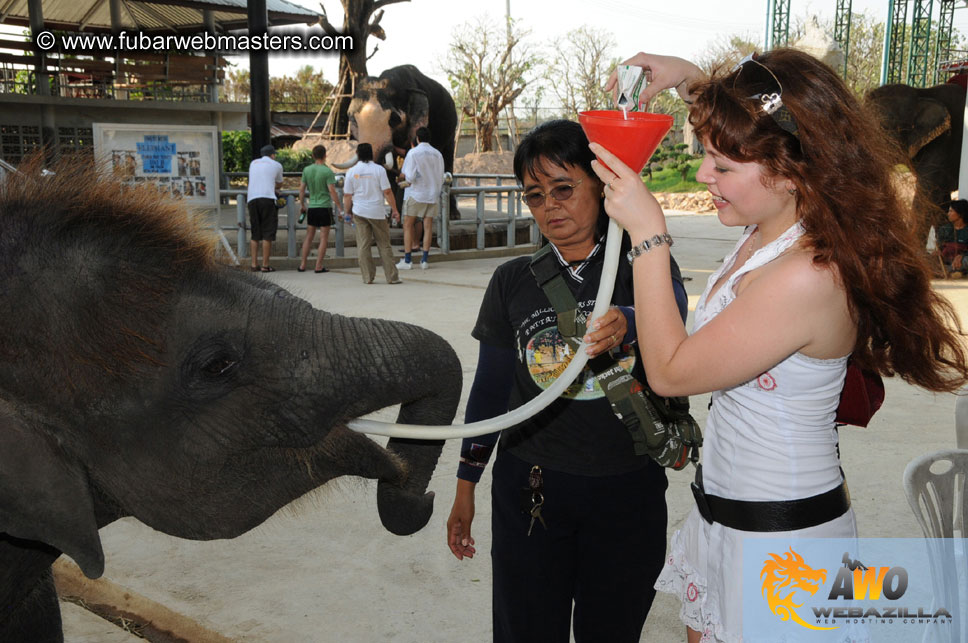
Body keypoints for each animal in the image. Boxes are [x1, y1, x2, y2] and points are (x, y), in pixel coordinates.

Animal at [334, 63, 460, 219]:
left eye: (394, 119)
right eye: (352, 118)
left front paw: (398, 220)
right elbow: (390, 169)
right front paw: (391, 219)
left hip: (451, 128)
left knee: (447, 160)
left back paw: (453, 215)